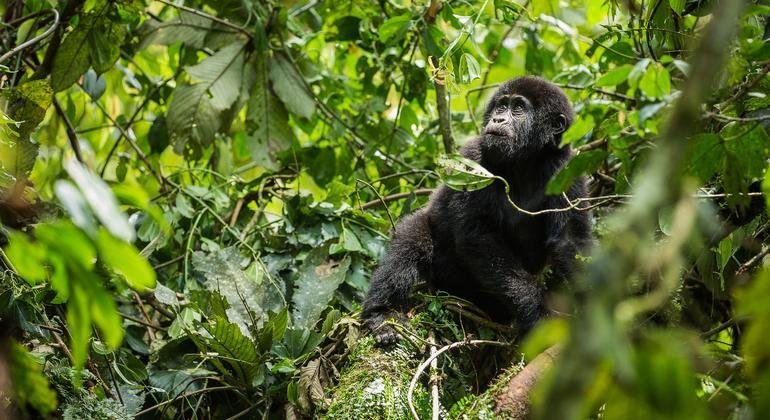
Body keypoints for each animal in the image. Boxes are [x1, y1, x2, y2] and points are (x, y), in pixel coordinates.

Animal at [364, 76, 592, 344]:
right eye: (501, 106)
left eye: (518, 108)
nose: (498, 119)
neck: (526, 160)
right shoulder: (473, 158)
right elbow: (478, 237)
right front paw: (538, 313)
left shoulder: (568, 167)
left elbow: (570, 240)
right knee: (412, 241)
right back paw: (381, 314)